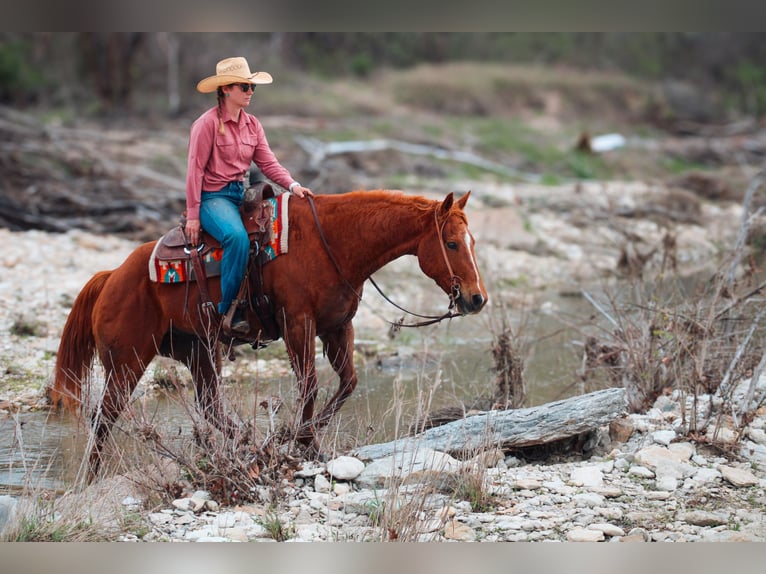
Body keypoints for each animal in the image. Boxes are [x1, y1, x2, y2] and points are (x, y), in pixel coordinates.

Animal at [48, 190, 488, 476]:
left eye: (472, 240)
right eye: (451, 243)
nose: (476, 298)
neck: (332, 243)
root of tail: (112, 276)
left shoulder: (337, 327)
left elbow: (347, 383)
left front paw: (307, 443)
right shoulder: (298, 323)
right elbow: (310, 385)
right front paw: (299, 439)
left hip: (199, 351)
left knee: (210, 406)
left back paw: (246, 440)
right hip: (128, 361)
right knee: (103, 417)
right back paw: (92, 477)